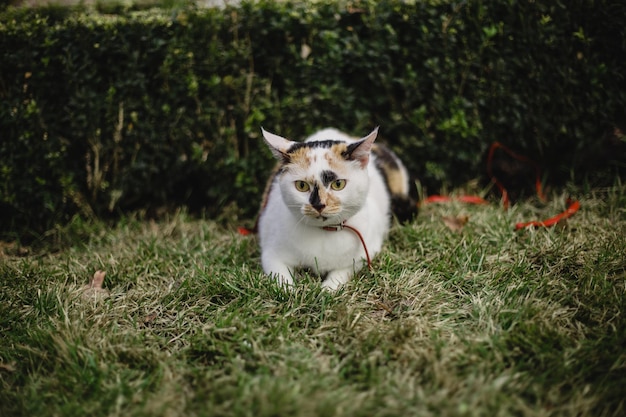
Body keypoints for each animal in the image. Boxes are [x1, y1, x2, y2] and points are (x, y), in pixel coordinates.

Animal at [256, 127, 412, 290]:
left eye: (338, 184)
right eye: (301, 185)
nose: (318, 205)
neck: (325, 232)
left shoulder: (367, 251)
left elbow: (342, 272)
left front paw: (326, 290)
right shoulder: (271, 253)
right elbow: (280, 277)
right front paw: (290, 291)